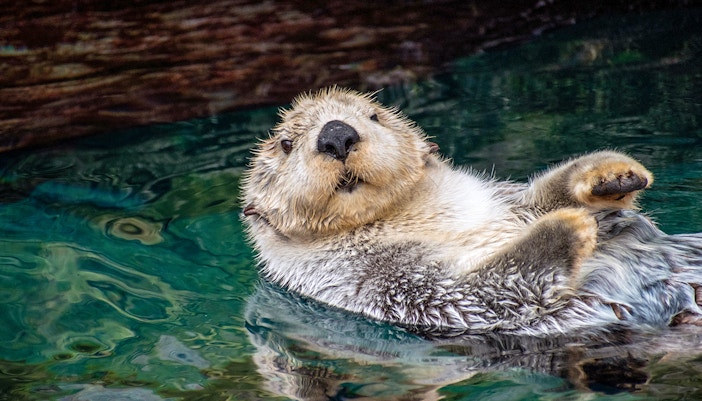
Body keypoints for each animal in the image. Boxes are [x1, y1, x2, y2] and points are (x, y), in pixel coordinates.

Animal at [241, 86, 702, 335]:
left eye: (373, 116)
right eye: (286, 143)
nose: (337, 134)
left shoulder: (505, 204)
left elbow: (542, 196)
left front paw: (613, 175)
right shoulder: (384, 284)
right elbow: (482, 292)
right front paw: (568, 225)